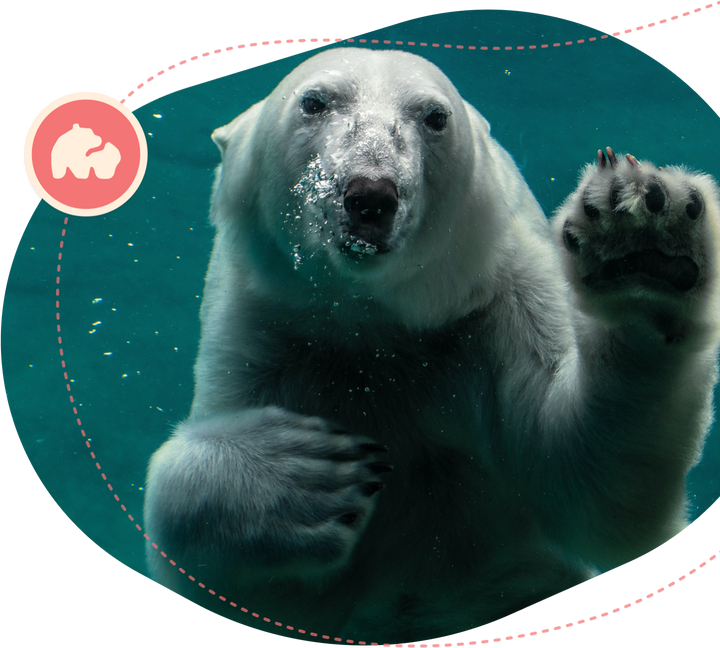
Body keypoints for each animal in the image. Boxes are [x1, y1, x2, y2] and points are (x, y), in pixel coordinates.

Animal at [143, 48, 720, 643]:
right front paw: (306, 473)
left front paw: (643, 241)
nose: (370, 196)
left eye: (435, 116)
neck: (376, 324)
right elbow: (247, 585)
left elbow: (588, 481)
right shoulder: (269, 330)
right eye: (315, 101)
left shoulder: (497, 302)